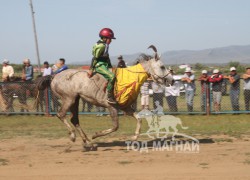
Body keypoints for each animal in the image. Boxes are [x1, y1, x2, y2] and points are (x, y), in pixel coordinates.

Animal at [36, 45, 173, 150]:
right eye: (162, 66)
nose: (170, 80)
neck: (130, 78)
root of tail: (54, 76)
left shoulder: (125, 107)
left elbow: (139, 119)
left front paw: (134, 137)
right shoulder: (111, 106)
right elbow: (115, 126)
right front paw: (96, 135)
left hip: (75, 100)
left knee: (74, 120)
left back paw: (88, 143)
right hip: (69, 99)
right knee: (61, 114)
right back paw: (74, 136)